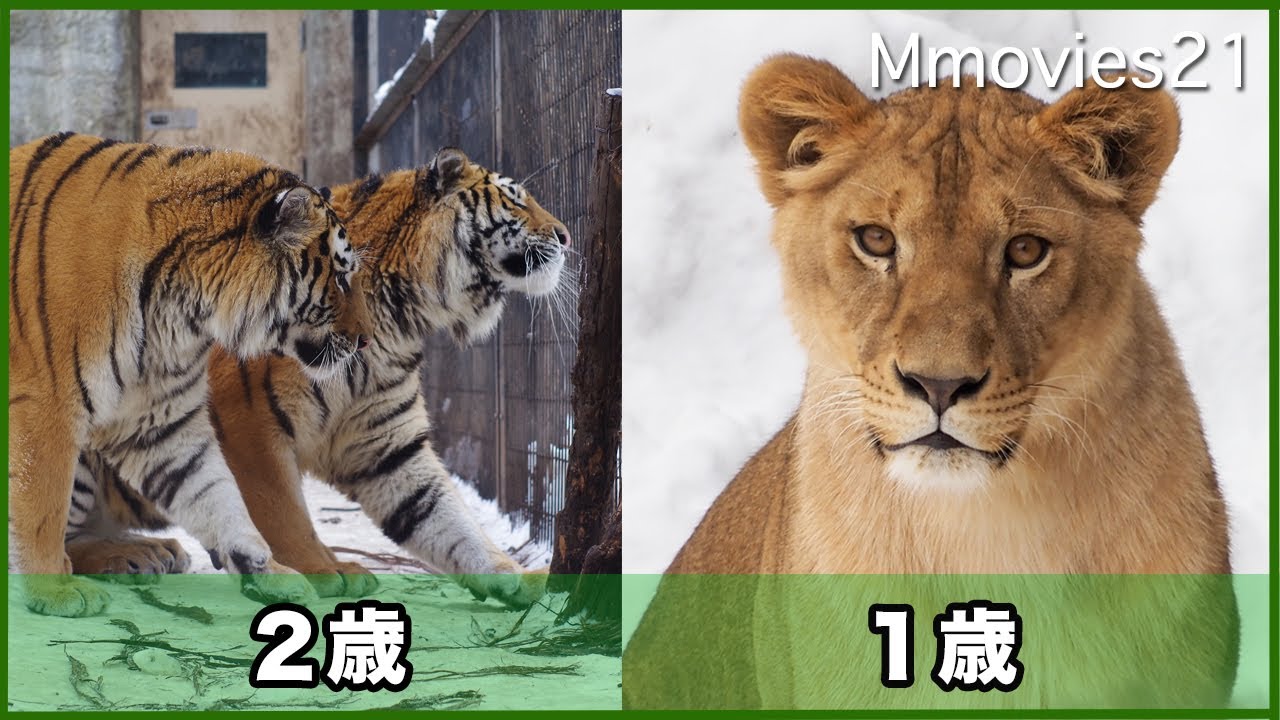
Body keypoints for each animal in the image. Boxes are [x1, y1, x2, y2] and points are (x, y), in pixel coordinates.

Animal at [9, 132, 370, 617]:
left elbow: (216, 495)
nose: (366, 339)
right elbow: (43, 508)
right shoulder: (45, 407)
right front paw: (54, 591)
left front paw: (266, 569)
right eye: (343, 278)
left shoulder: (159, 420)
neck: (182, 309)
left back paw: (148, 553)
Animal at [72, 146, 571, 608]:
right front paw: (319, 570)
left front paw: (516, 577)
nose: (566, 237)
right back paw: (129, 556)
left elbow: (445, 516)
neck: (401, 321)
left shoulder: (386, 443)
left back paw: (155, 551)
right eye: (516, 200)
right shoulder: (246, 423)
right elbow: (284, 513)